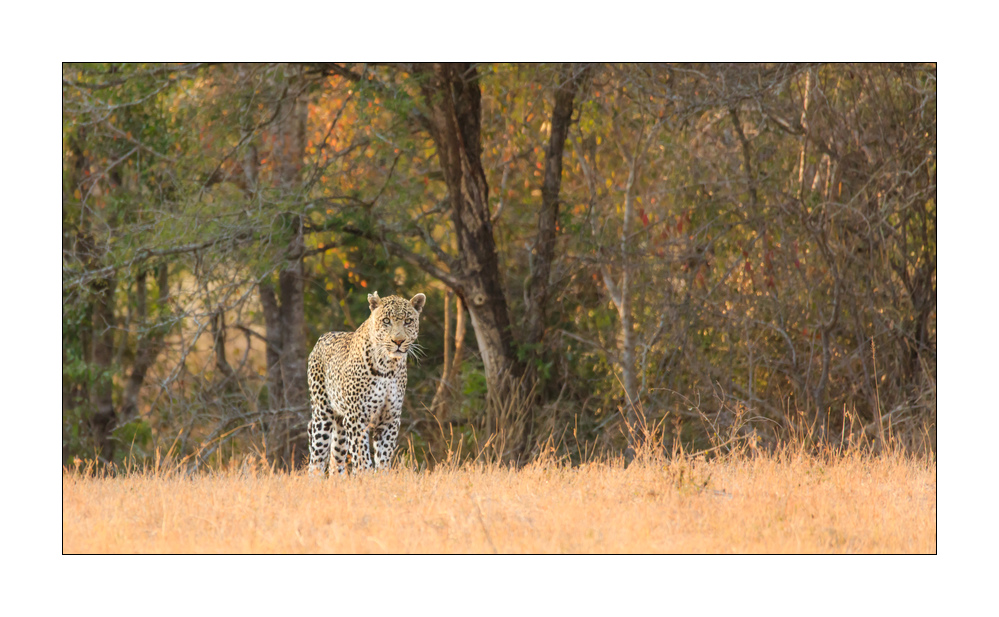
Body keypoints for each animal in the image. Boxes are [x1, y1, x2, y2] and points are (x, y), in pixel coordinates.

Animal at [307, 291, 425, 475]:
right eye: (386, 321)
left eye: (408, 321)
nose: (398, 341)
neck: (388, 367)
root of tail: (323, 336)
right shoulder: (357, 419)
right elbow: (362, 459)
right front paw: (366, 478)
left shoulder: (389, 419)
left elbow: (383, 457)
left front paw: (381, 478)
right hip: (323, 415)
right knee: (316, 460)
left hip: (341, 424)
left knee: (336, 461)